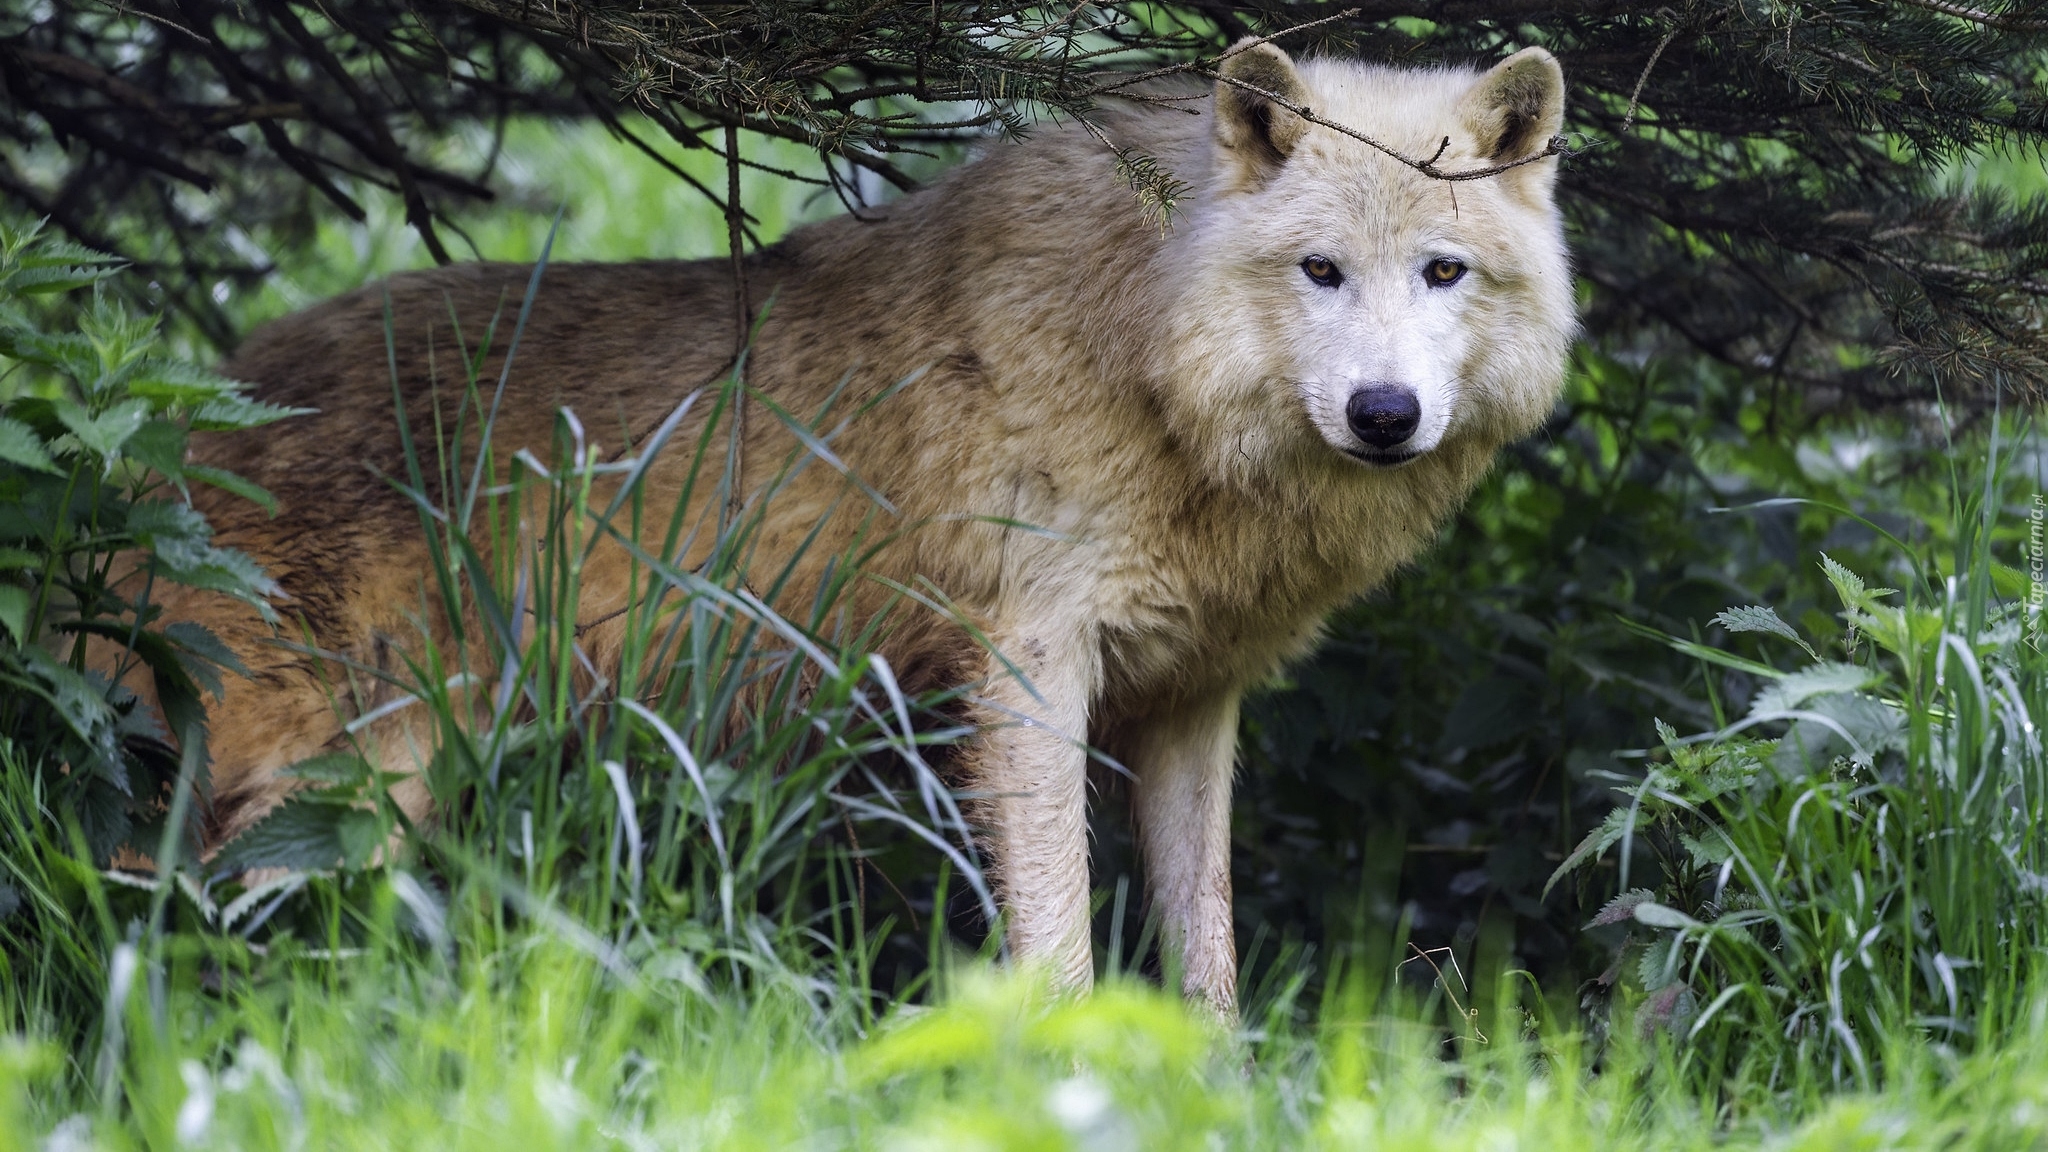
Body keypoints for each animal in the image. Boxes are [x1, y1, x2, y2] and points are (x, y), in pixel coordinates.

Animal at [155, 35, 1564, 1008]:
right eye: (1319, 271)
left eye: (1441, 272)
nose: (1383, 413)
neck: (1147, 352)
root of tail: (193, 398)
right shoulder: (1026, 675)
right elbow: (1059, 941)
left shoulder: (1188, 703)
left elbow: (1202, 951)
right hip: (340, 790)